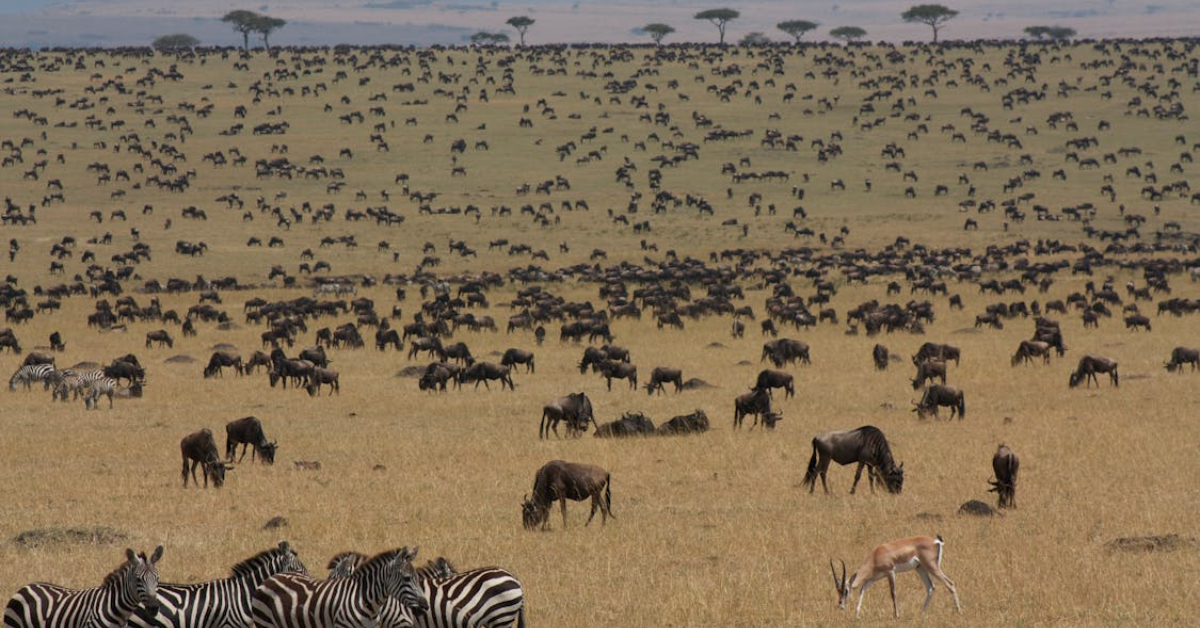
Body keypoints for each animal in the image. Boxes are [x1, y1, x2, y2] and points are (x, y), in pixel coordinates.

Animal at [831, 535, 961, 618]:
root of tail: (936, 541)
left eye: (845, 591)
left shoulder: (890, 572)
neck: (876, 555)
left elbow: (893, 592)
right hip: (920, 568)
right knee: (930, 587)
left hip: (931, 567)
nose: (841, 605)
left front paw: (897, 615)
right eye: (838, 591)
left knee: (950, 583)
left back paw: (959, 612)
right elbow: (862, 589)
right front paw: (857, 614)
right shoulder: (873, 578)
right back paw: (922, 614)